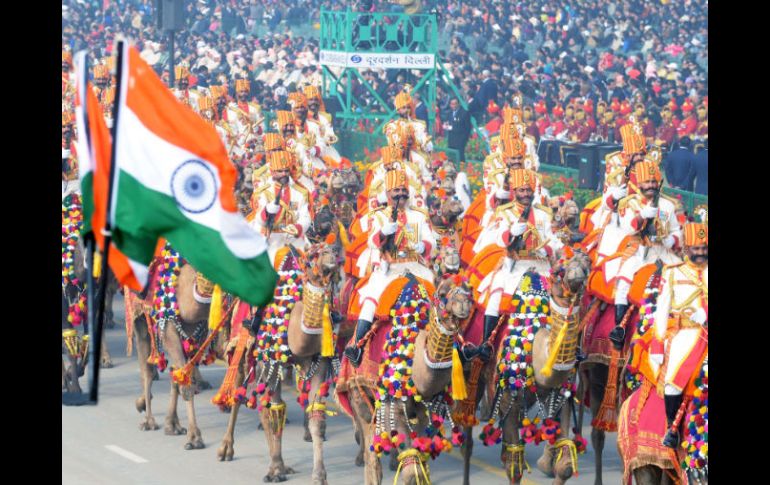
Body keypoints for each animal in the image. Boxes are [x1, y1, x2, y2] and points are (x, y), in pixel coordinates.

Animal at [338, 276, 472, 484]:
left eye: (469, 290)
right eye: (442, 293)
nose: (464, 303)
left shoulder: (429, 410)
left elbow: (421, 464)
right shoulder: (393, 404)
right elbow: (411, 470)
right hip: (358, 393)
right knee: (370, 452)